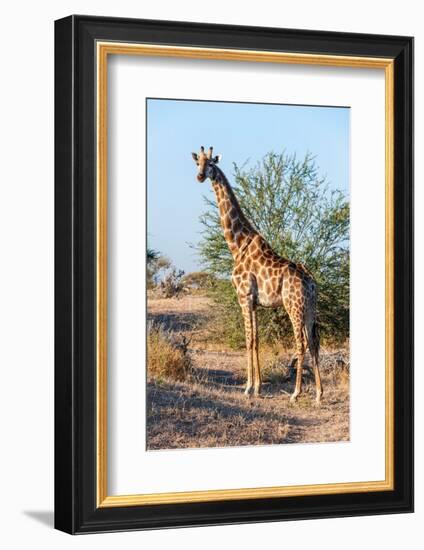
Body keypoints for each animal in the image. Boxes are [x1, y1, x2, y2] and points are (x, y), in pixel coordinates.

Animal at [192, 147, 324, 406]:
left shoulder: (243, 297)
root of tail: (311, 283)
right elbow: (256, 339)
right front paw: (258, 387)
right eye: (197, 162)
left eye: (211, 163)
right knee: (314, 342)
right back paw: (318, 394)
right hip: (310, 308)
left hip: (293, 306)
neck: (237, 245)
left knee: (301, 343)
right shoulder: (254, 302)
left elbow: (248, 339)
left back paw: (295, 393)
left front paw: (248, 388)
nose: (200, 176)